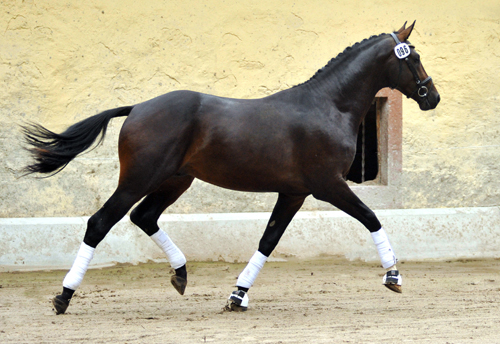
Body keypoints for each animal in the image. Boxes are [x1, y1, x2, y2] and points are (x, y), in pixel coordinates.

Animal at [21, 20, 440, 312]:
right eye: (414, 57)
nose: (432, 97)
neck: (328, 106)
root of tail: (138, 107)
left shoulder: (294, 192)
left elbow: (268, 240)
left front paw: (237, 296)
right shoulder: (329, 184)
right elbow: (371, 217)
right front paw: (393, 275)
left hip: (175, 180)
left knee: (144, 217)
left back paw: (181, 274)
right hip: (139, 178)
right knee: (100, 222)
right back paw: (64, 296)